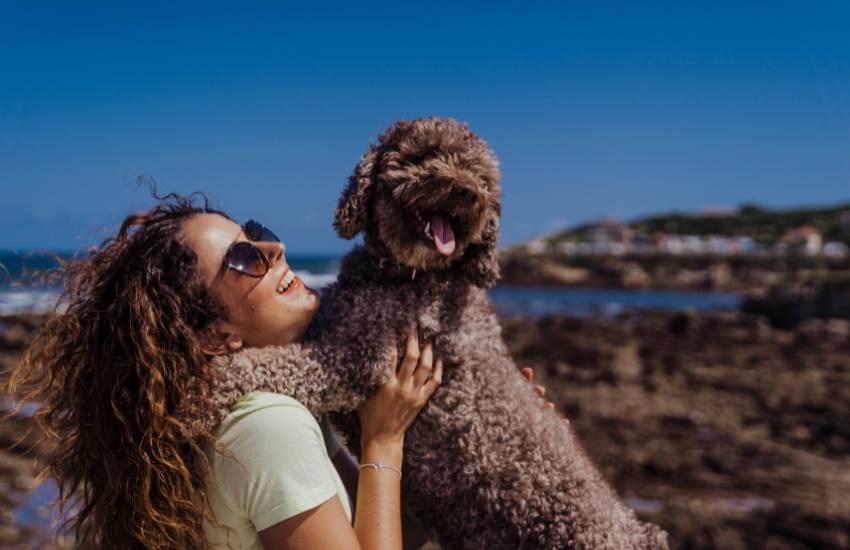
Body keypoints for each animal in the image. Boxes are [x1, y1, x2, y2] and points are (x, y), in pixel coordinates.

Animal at [202, 118, 664, 548]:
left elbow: (276, 361)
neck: (406, 276)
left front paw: (210, 381)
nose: (468, 192)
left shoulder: (360, 362)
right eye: (425, 155)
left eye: (481, 175)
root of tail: (639, 533)